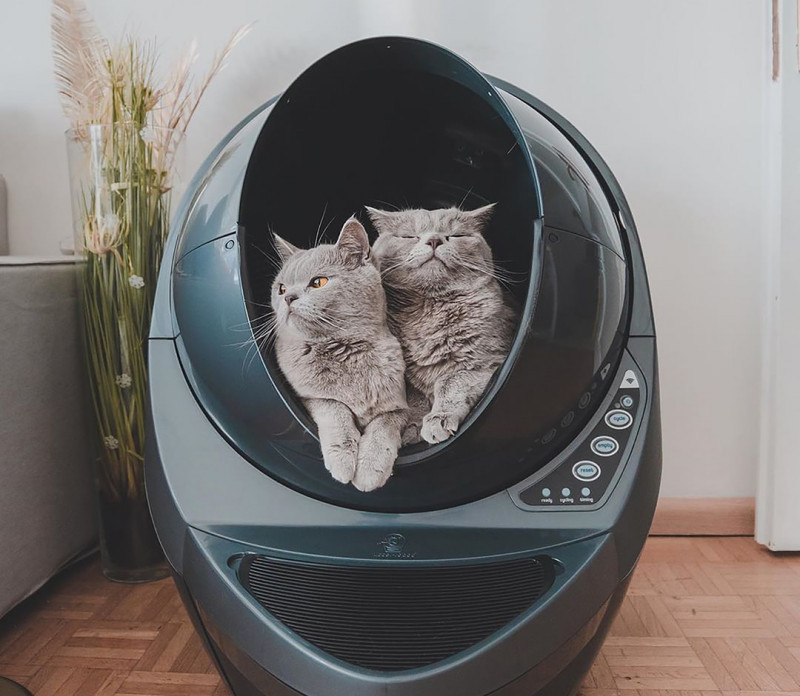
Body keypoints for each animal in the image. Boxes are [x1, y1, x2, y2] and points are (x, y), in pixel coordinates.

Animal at [270, 218, 406, 490]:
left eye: (318, 282)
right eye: (281, 288)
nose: (288, 297)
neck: (344, 351)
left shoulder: (402, 406)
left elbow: (384, 425)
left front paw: (370, 469)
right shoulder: (308, 396)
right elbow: (335, 408)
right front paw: (343, 462)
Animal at [370, 205, 520, 446]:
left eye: (456, 235)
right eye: (409, 236)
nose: (434, 240)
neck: (429, 308)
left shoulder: (484, 361)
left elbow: (450, 383)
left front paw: (438, 418)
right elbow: (414, 396)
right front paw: (412, 426)